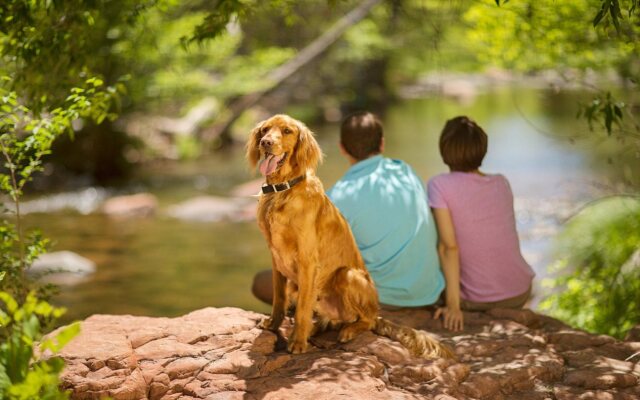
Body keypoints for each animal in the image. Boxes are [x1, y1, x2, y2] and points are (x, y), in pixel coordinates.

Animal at [248, 114, 452, 358]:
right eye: (265, 130)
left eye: (287, 131)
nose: (266, 143)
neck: (282, 191)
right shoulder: (277, 259)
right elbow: (279, 299)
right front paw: (273, 324)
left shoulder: (307, 260)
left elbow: (302, 309)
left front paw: (297, 342)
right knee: (327, 320)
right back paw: (315, 329)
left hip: (348, 275)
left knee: (367, 319)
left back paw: (347, 330)